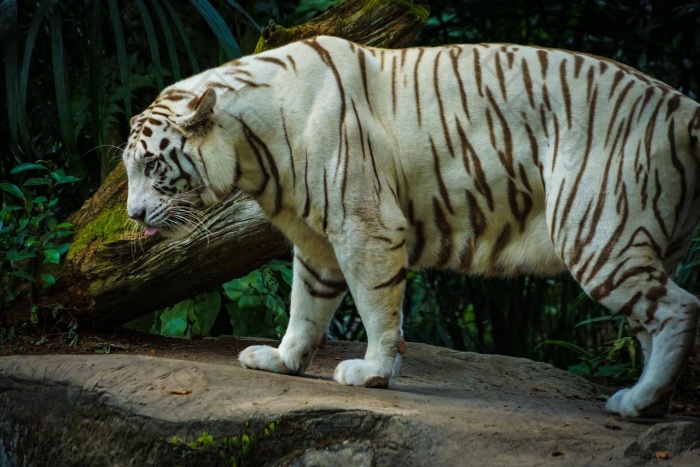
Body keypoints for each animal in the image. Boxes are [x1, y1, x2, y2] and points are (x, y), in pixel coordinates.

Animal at [123, 35, 700, 418]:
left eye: (151, 166)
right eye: (129, 169)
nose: (133, 215)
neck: (251, 150)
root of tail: (684, 106)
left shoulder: (365, 227)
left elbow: (377, 307)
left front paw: (372, 374)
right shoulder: (315, 241)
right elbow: (306, 305)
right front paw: (282, 361)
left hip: (596, 230)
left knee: (679, 309)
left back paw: (637, 403)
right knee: (651, 320)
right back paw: (648, 402)